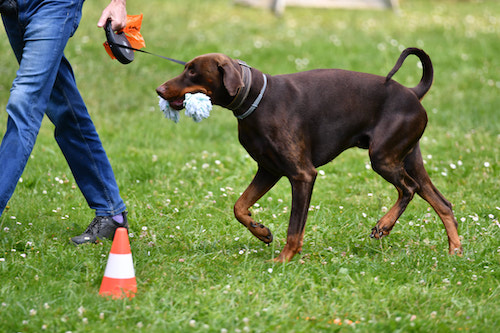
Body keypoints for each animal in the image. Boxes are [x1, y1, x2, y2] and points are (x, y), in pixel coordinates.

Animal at [158, 48, 462, 262]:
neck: (256, 99)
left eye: (193, 72)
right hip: (408, 158)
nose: (159, 89)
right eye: (186, 69)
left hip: (383, 158)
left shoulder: (302, 175)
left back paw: (384, 225)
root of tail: (413, 92)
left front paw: (283, 259)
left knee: (408, 189)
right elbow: (239, 206)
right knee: (443, 203)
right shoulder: (268, 170)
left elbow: (294, 228)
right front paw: (261, 230)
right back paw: (455, 251)